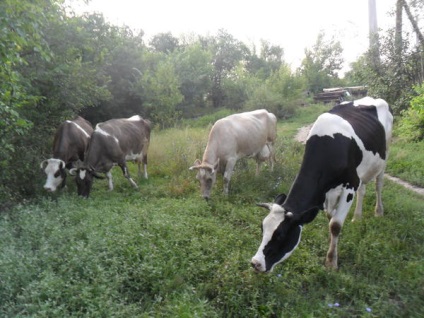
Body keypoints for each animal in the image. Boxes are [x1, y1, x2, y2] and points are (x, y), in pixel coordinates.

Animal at [250, 97, 392, 270]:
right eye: (262, 228)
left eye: (280, 235)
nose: (255, 263)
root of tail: (372, 98)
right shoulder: (329, 192)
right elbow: (330, 219)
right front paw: (331, 246)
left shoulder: (350, 185)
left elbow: (335, 225)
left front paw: (331, 262)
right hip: (363, 170)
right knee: (363, 190)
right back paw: (357, 217)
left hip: (385, 155)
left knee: (379, 185)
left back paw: (378, 211)